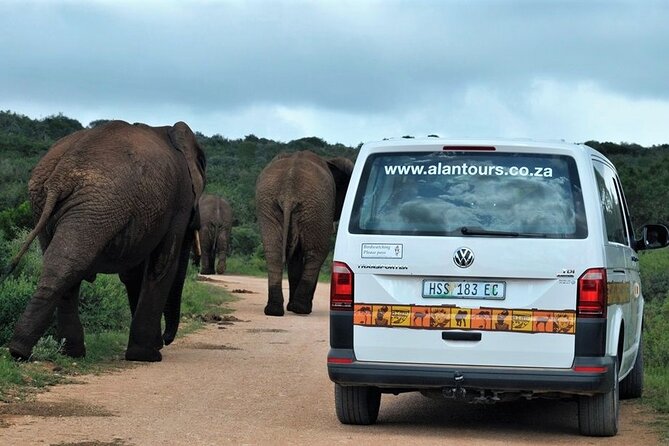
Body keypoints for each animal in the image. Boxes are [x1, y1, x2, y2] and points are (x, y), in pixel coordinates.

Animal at [6, 120, 206, 362]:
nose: (166, 340)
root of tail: (60, 176)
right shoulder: (180, 201)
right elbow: (163, 264)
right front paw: (147, 355)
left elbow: (134, 273)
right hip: (98, 203)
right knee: (70, 262)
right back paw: (31, 351)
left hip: (49, 202)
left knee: (62, 263)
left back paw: (51, 352)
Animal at [255, 150, 354, 316]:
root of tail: (288, 190)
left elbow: (295, 257)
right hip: (316, 206)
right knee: (316, 253)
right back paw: (301, 309)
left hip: (268, 204)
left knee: (273, 252)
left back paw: (274, 310)